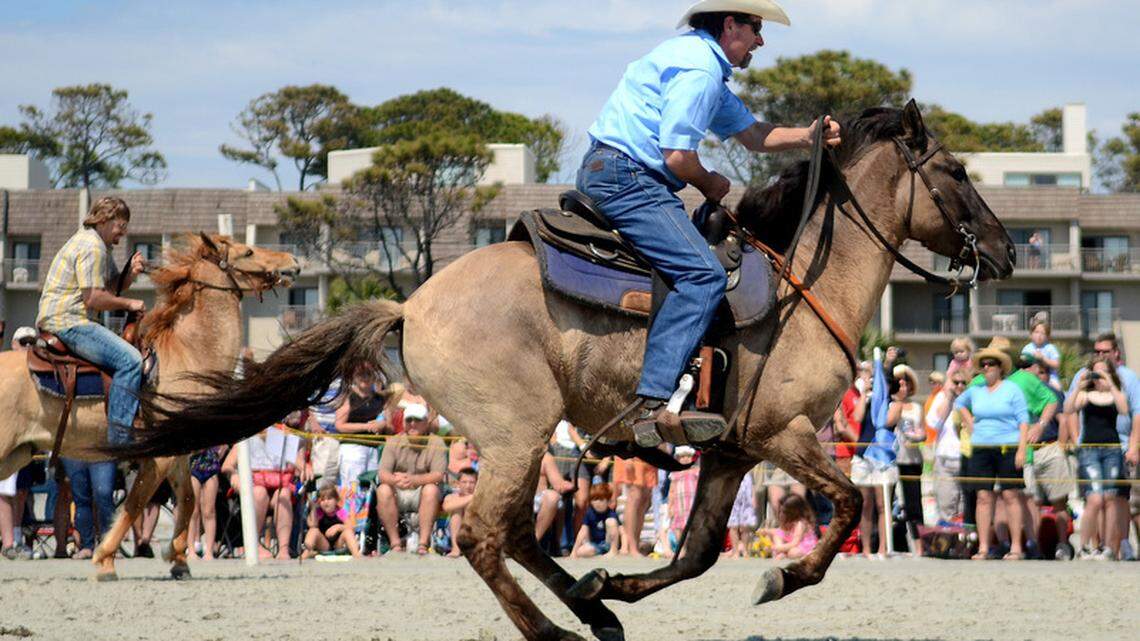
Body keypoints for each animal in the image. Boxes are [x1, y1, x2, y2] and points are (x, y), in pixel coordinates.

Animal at [0, 234, 299, 579]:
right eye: (248, 252)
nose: (292, 261)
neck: (188, 354)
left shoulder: (178, 450)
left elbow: (187, 498)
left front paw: (178, 559)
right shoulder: (158, 457)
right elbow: (136, 502)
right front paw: (105, 559)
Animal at [107, 102, 1014, 640]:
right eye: (957, 173)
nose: (1007, 250)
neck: (804, 284)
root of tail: (412, 307)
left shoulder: (728, 452)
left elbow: (698, 552)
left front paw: (614, 581)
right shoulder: (779, 434)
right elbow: (846, 504)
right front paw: (781, 576)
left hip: (526, 437)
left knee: (510, 531)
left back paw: (589, 604)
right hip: (519, 430)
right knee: (481, 532)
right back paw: (553, 628)